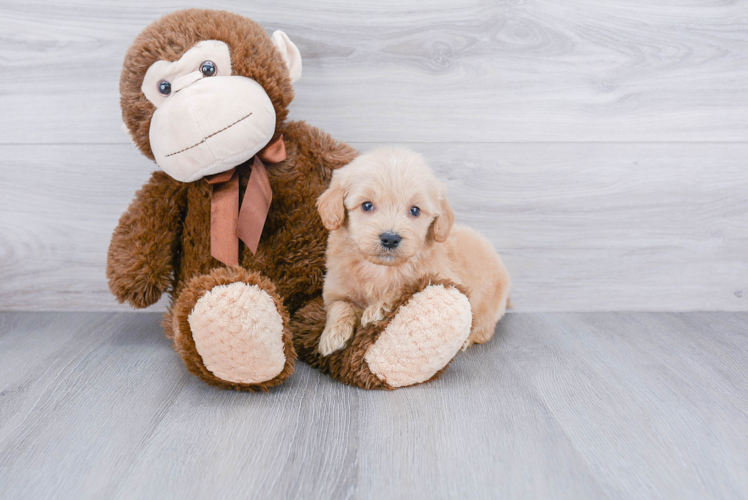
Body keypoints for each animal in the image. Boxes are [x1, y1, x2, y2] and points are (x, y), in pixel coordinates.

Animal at [312, 146, 512, 356]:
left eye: (415, 210)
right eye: (367, 205)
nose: (390, 238)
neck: (381, 269)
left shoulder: (440, 278)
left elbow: (403, 288)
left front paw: (377, 309)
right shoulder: (334, 288)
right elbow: (339, 305)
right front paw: (332, 335)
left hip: (488, 308)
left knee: (484, 329)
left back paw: (468, 340)